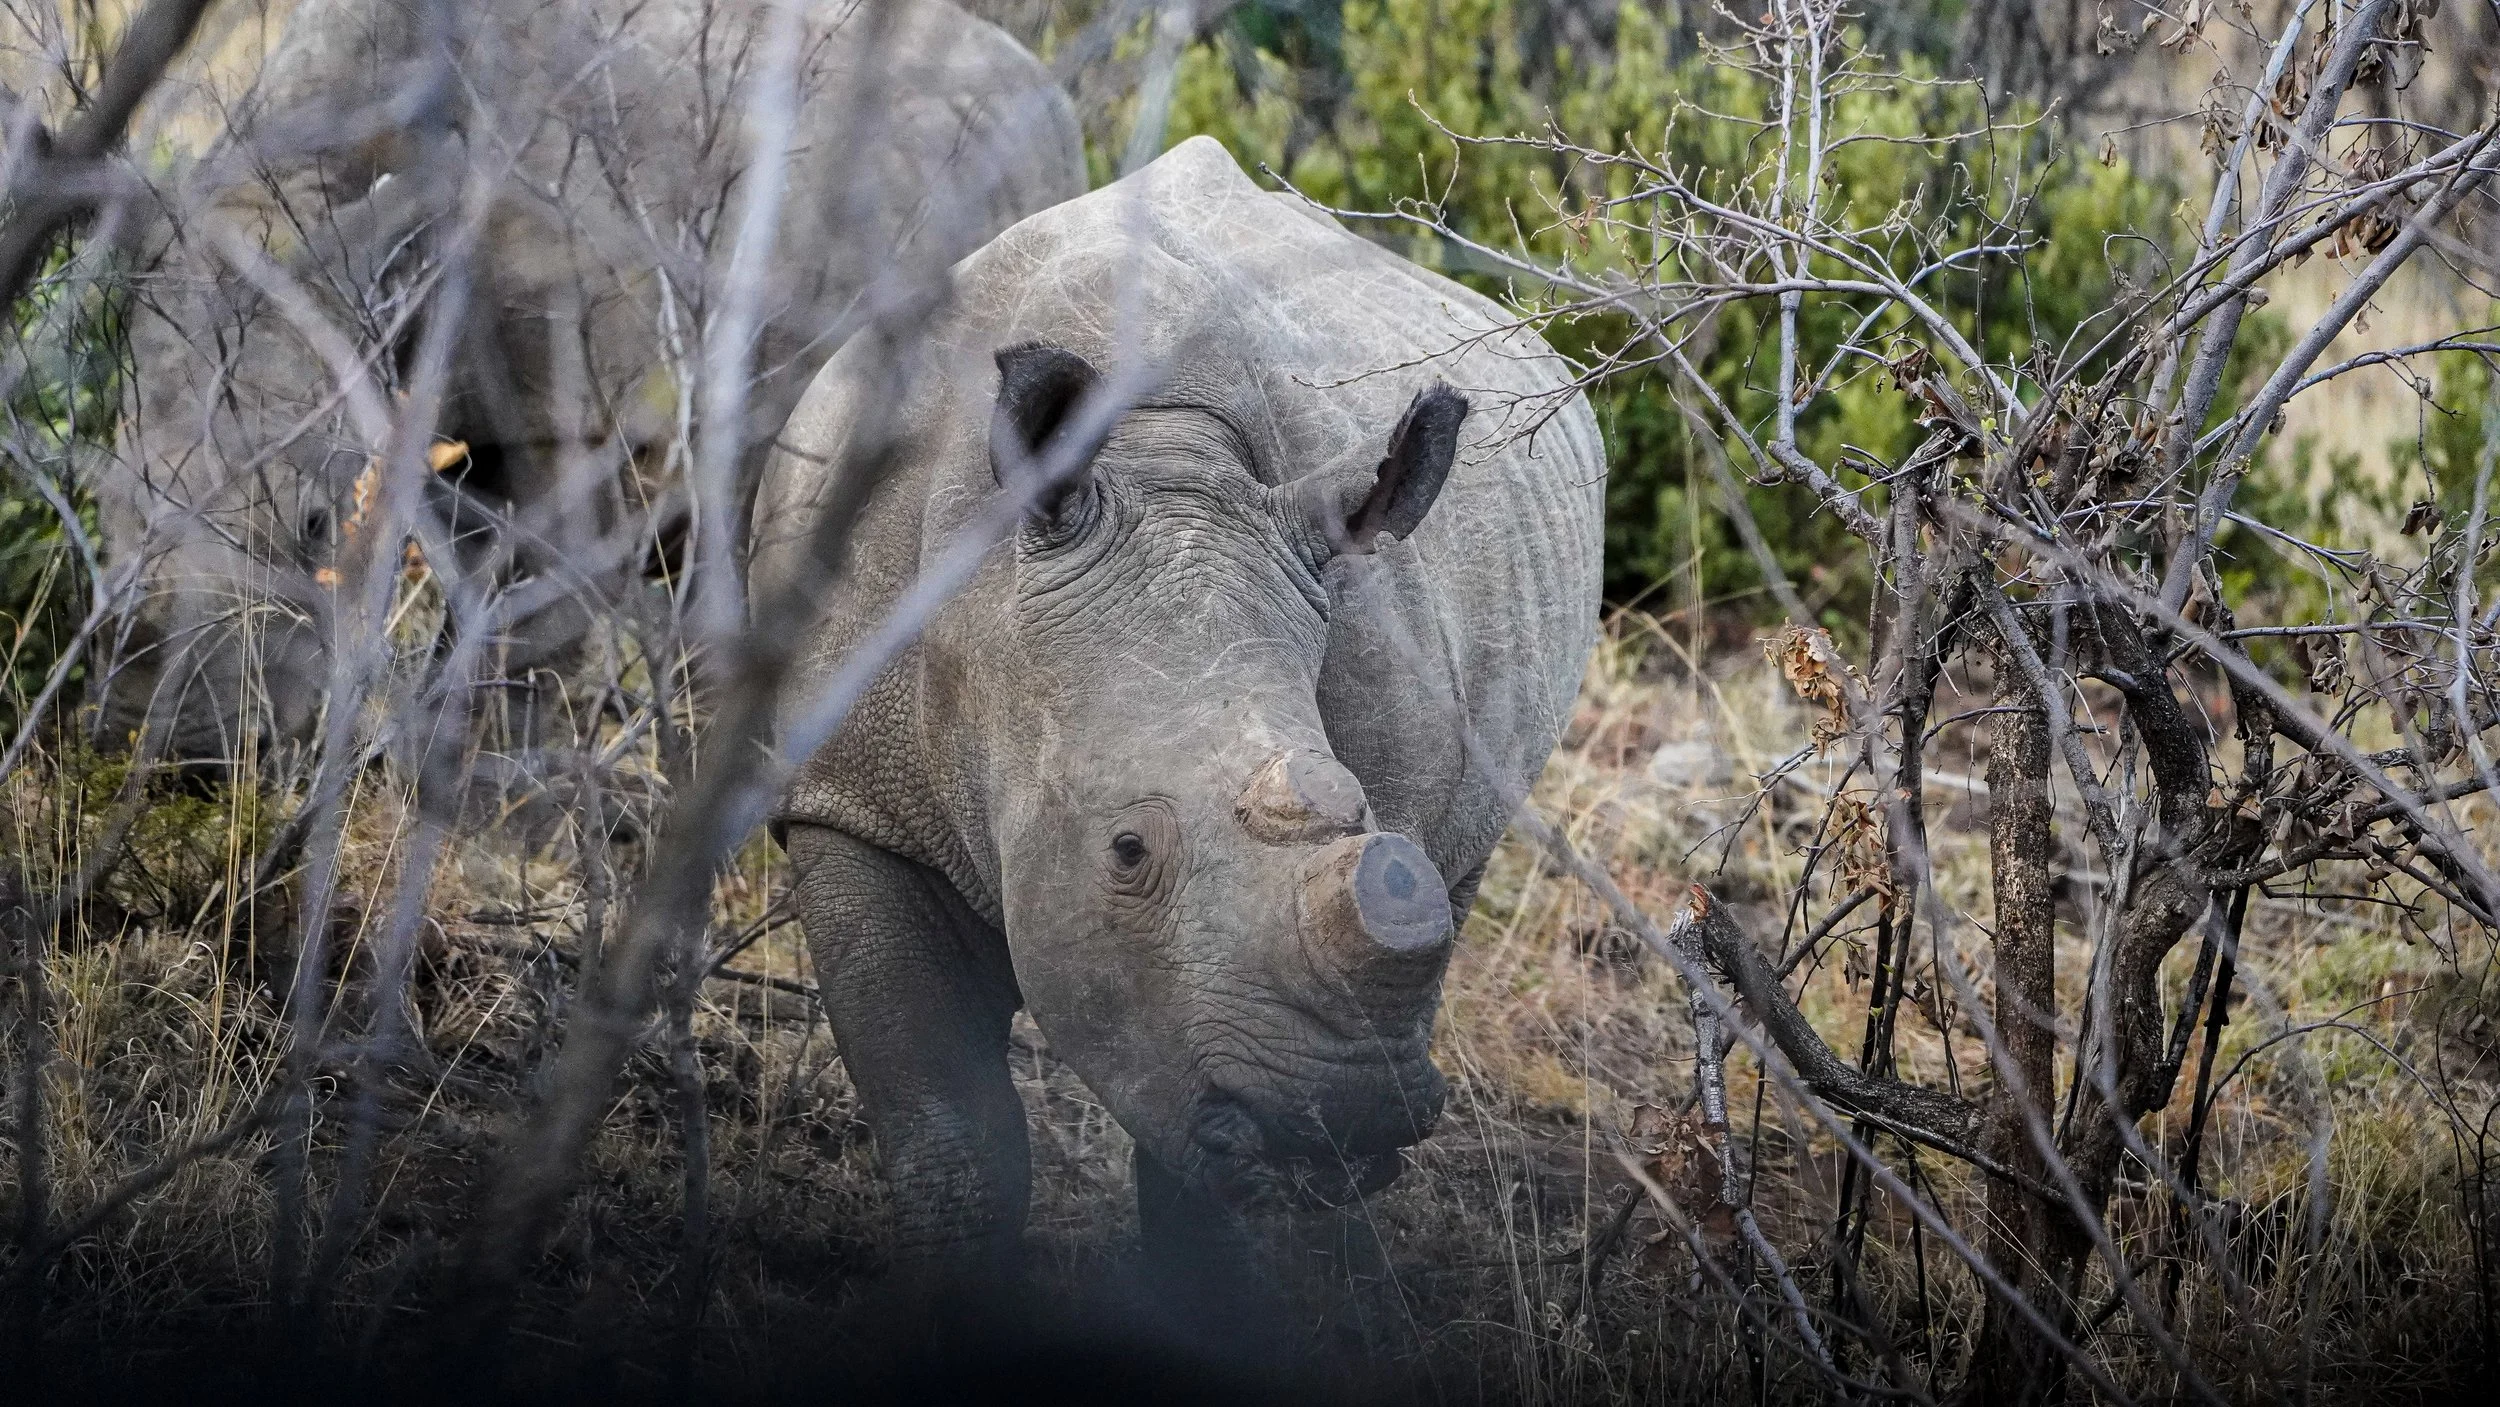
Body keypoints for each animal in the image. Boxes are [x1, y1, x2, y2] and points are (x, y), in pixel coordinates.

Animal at [94, 0, 1084, 766]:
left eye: (312, 522)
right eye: (100, 509)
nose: (185, 747)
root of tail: (1057, 102)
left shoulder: (568, 416)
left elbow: (533, 629)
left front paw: (492, 813)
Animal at [750, 136, 1604, 1258]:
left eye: (1365, 812)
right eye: (1126, 849)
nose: (1341, 1127)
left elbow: (1191, 1176)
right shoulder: (852, 800)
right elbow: (954, 1136)